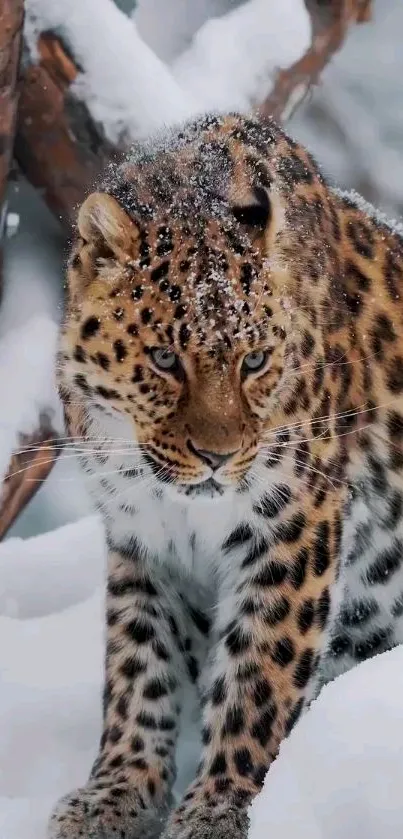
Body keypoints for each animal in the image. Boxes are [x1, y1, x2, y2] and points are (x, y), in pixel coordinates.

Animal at [49, 115, 403, 839]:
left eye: (255, 360)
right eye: (164, 360)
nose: (218, 455)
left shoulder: (293, 527)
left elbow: (257, 679)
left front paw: (216, 806)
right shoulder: (144, 543)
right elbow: (139, 668)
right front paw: (116, 790)